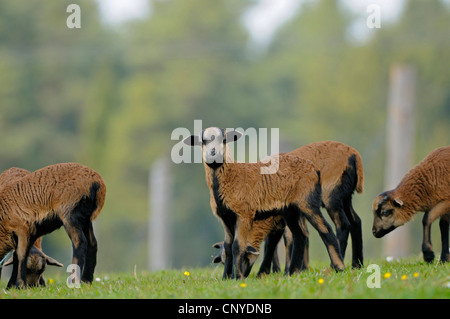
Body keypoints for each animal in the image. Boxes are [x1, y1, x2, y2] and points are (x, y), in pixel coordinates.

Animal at [183, 127, 344, 280]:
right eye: (203, 142)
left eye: (224, 140)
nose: (213, 154)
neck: (231, 176)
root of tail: (314, 169)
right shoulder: (225, 218)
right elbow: (228, 247)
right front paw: (225, 278)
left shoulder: (244, 214)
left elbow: (237, 246)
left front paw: (238, 277)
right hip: (290, 210)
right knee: (300, 236)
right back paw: (292, 272)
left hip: (307, 201)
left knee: (325, 229)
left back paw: (339, 267)